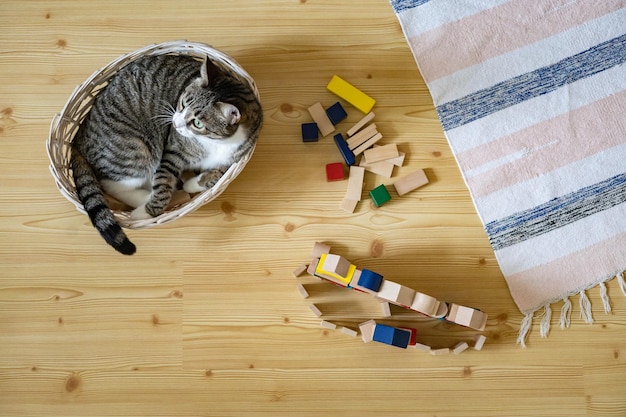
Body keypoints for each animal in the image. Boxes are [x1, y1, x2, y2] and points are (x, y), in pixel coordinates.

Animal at [70, 52, 260, 254]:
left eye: (198, 123)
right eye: (183, 103)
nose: (175, 124)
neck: (216, 143)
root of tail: (79, 136)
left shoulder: (238, 155)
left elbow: (217, 174)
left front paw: (192, 184)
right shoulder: (172, 151)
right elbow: (163, 185)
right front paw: (147, 211)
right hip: (135, 152)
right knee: (111, 183)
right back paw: (144, 199)